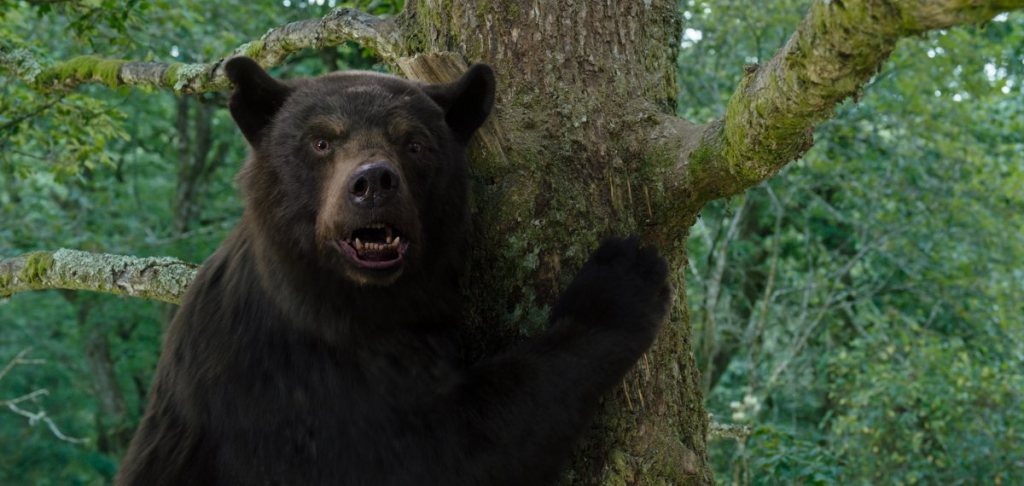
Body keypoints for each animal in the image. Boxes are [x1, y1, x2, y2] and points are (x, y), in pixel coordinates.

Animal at [116, 57, 671, 485]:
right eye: (321, 141)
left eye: (414, 142)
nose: (373, 183)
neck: (352, 305)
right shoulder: (286, 389)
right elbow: (441, 450)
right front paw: (619, 283)